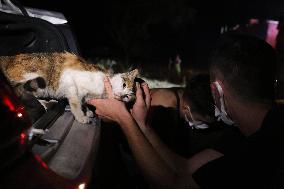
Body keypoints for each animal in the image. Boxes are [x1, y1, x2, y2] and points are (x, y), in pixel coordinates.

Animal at [0, 51, 139, 123]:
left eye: (126, 97)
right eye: (124, 84)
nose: (120, 95)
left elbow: (82, 101)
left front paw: (87, 111)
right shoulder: (72, 83)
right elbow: (76, 103)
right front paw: (81, 116)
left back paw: (47, 103)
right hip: (34, 78)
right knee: (21, 93)